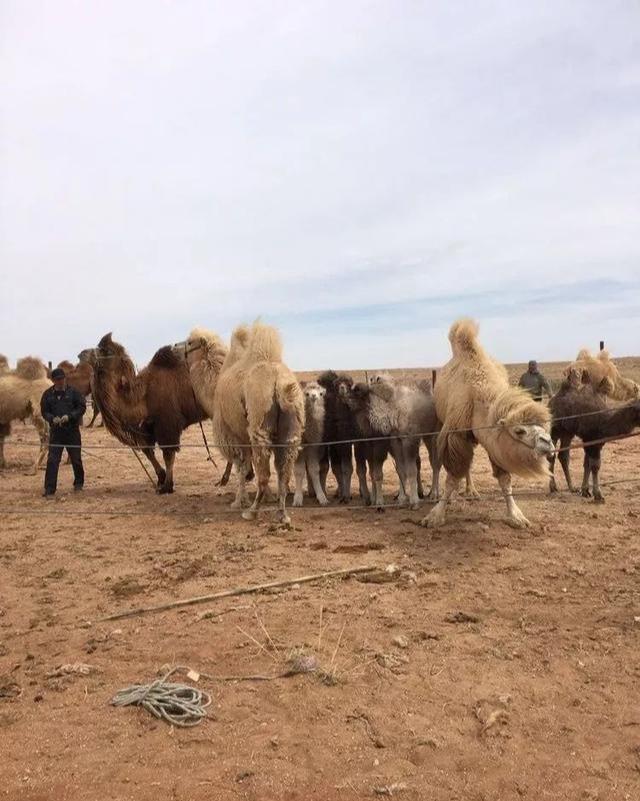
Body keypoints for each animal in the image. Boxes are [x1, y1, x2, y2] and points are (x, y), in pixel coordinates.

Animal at [212, 322, 304, 520]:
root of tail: (279, 384)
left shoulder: (235, 437)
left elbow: (241, 467)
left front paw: (238, 502)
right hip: (292, 428)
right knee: (284, 471)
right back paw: (282, 514)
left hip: (259, 424)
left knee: (264, 473)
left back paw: (251, 511)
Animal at [420, 318, 556, 532]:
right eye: (519, 431)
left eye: (544, 427)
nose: (547, 443)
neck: (477, 394)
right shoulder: (455, 435)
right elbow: (451, 479)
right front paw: (435, 515)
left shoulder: (493, 442)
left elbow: (505, 481)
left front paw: (516, 516)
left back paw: (472, 490)